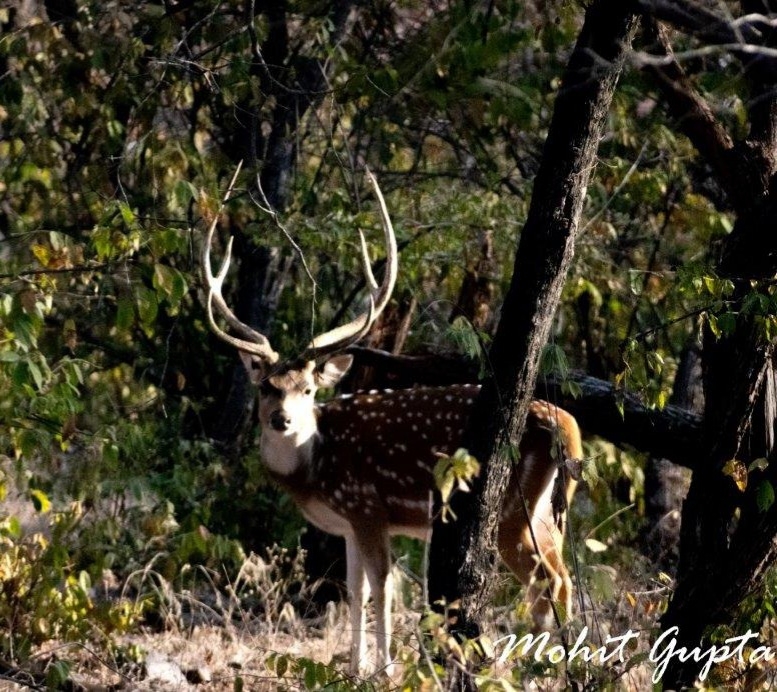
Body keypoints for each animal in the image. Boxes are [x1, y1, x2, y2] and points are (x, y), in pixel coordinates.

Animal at [201, 170, 581, 675]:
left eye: (308, 389)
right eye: (266, 386)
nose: (282, 420)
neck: (314, 470)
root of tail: (571, 430)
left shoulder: (367, 505)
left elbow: (383, 588)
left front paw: (383, 668)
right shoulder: (346, 524)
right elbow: (354, 588)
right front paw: (352, 666)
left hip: (510, 510)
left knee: (547, 582)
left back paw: (538, 668)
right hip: (544, 514)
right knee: (563, 579)